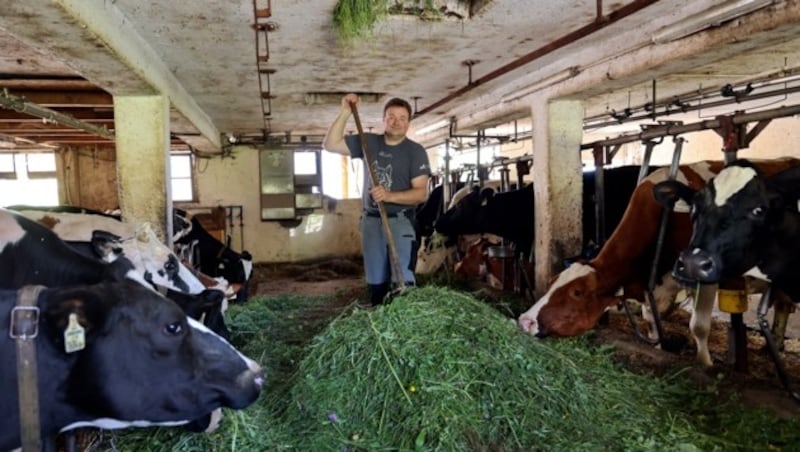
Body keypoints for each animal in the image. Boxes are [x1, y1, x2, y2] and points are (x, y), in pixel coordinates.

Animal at [520, 159, 800, 368]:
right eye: (551, 282)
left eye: (576, 292)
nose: (525, 321)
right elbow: (651, 321)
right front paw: (659, 346)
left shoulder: (704, 276)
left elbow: (698, 326)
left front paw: (705, 365)